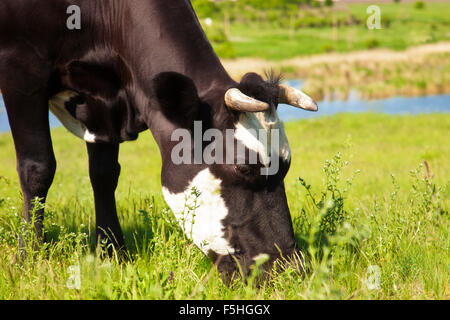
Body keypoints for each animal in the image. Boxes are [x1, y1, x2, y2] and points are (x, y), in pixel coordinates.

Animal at [0, 0, 316, 276]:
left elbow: (104, 175)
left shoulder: (101, 102)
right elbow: (38, 168)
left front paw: (112, 252)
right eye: (244, 167)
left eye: (286, 165)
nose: (292, 269)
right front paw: (27, 258)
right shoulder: (20, 68)